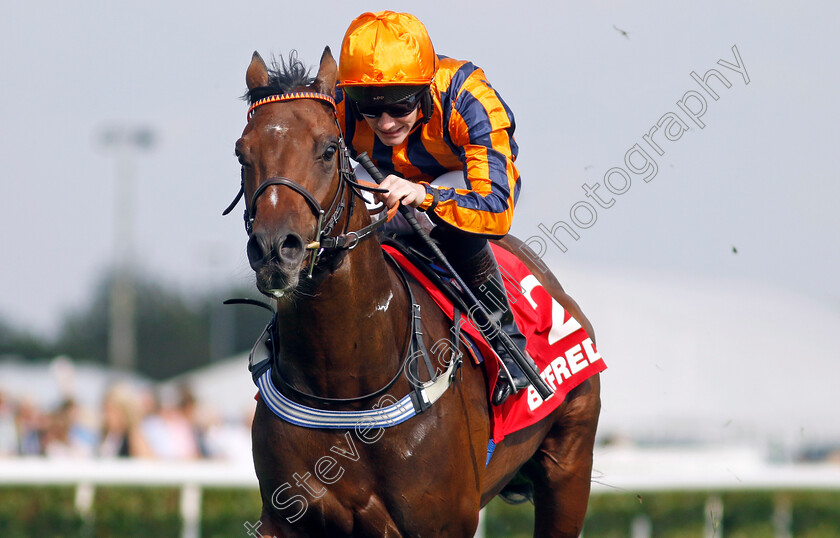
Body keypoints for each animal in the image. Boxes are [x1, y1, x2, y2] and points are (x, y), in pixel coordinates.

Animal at [233, 47, 600, 536]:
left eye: (328, 149)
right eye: (242, 153)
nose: (276, 248)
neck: (346, 385)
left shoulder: (443, 520)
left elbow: (487, 199)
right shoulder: (284, 517)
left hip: (569, 463)